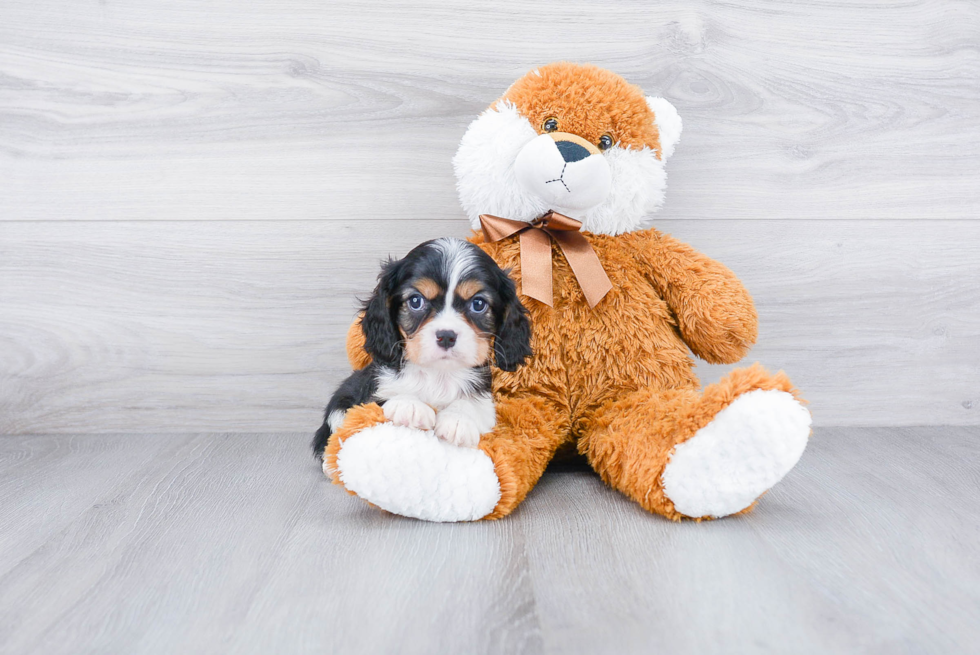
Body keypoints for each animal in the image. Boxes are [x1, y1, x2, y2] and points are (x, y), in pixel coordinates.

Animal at [312, 237, 532, 462]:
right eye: (416, 301)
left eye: (478, 304)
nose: (446, 336)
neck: (438, 374)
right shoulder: (368, 397)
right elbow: (384, 398)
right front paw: (409, 405)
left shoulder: (485, 401)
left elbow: (472, 405)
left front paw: (458, 420)